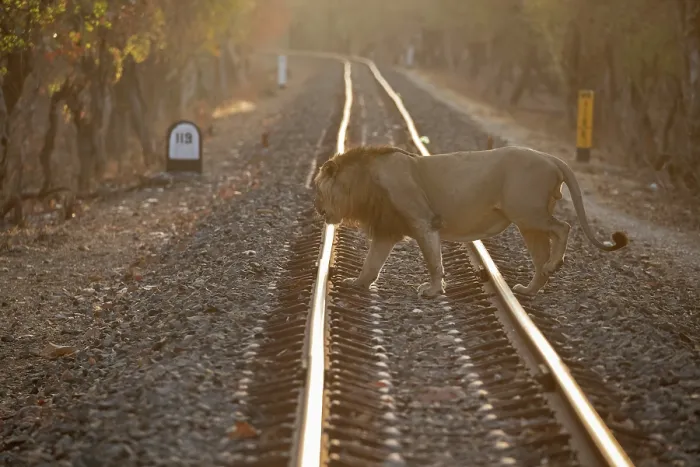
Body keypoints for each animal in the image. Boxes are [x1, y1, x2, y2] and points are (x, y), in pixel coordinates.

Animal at [313, 145, 628, 298]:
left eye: (317, 188)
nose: (316, 208)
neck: (363, 183)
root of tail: (550, 157)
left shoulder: (423, 221)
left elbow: (433, 260)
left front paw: (432, 291)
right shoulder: (386, 231)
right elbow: (371, 263)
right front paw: (356, 283)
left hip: (527, 213)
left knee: (563, 228)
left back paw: (555, 264)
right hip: (528, 223)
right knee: (540, 257)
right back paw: (529, 289)